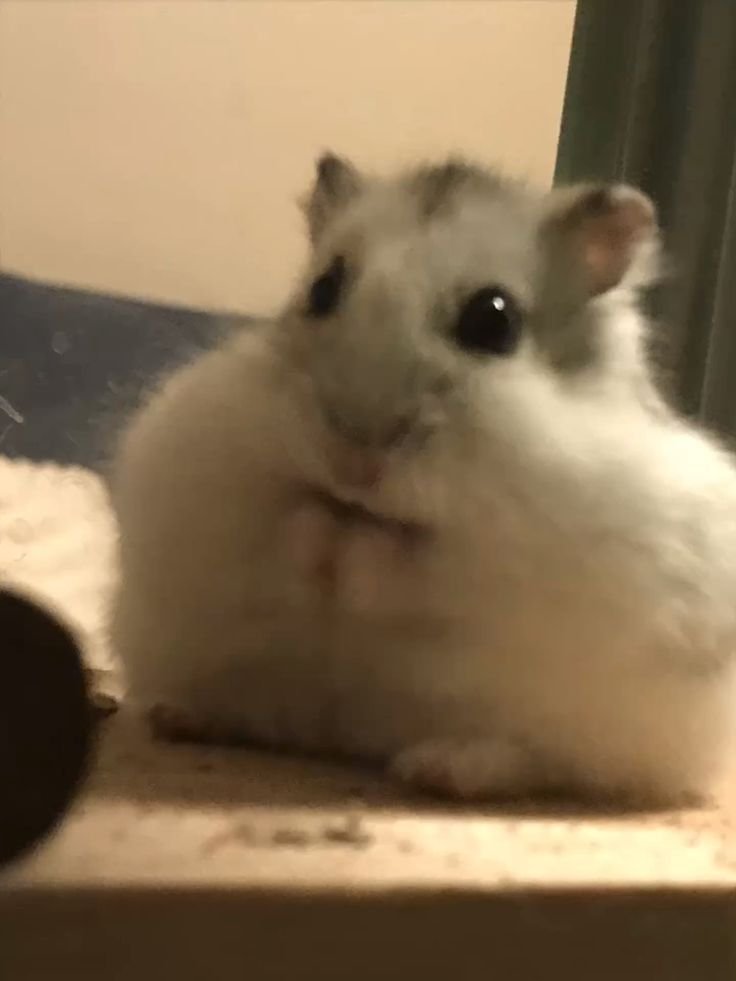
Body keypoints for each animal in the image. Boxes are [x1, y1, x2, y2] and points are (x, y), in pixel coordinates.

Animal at [109, 154, 736, 805]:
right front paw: (327, 518)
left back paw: (441, 767)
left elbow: (411, 562)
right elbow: (296, 524)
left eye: (494, 319)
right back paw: (179, 715)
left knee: (542, 762)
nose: (353, 458)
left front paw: (358, 538)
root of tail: (343, 741)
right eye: (323, 288)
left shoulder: (491, 556)